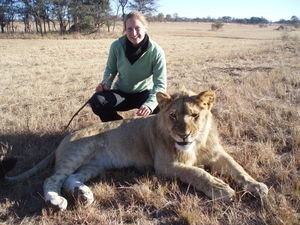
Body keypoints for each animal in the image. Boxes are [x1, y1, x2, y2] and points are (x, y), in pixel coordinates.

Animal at [0, 90, 268, 211]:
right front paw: (222, 190)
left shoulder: (217, 153)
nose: (183, 135)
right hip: (80, 151)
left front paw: (258, 186)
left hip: (94, 164)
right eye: (172, 116)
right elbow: (199, 173)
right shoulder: (166, 165)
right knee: (52, 179)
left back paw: (84, 195)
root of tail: (65, 137)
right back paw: (57, 201)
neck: (197, 143)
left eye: (194, 115)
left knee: (70, 179)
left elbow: (238, 169)